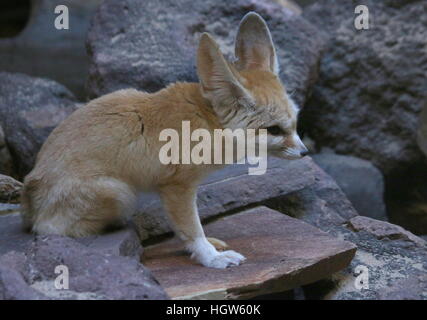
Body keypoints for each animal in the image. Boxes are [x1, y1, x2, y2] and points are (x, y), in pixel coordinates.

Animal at [20, 11, 308, 268]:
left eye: (295, 123)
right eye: (274, 130)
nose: (305, 152)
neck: (208, 122)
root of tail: (29, 194)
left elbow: (186, 228)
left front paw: (209, 248)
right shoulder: (176, 187)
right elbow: (192, 228)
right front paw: (211, 258)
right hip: (121, 193)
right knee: (64, 229)